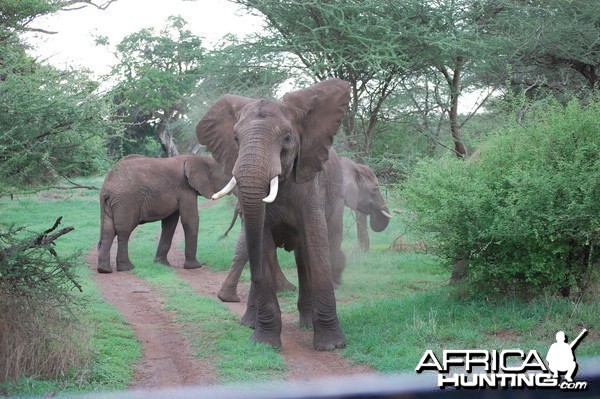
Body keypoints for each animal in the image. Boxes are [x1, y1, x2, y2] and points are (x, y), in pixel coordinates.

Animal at [97, 154, 231, 276]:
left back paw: (104, 270)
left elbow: (169, 223)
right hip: (126, 201)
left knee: (108, 231)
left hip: (113, 203)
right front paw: (195, 266)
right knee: (124, 231)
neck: (200, 158)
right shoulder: (186, 189)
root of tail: (106, 187)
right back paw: (127, 268)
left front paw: (161, 264)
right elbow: (190, 220)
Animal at [197, 78, 350, 350]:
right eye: (235, 138)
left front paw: (332, 346)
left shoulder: (312, 187)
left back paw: (306, 324)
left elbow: (316, 245)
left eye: (287, 138)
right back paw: (250, 322)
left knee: (305, 255)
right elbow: (262, 242)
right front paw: (265, 343)